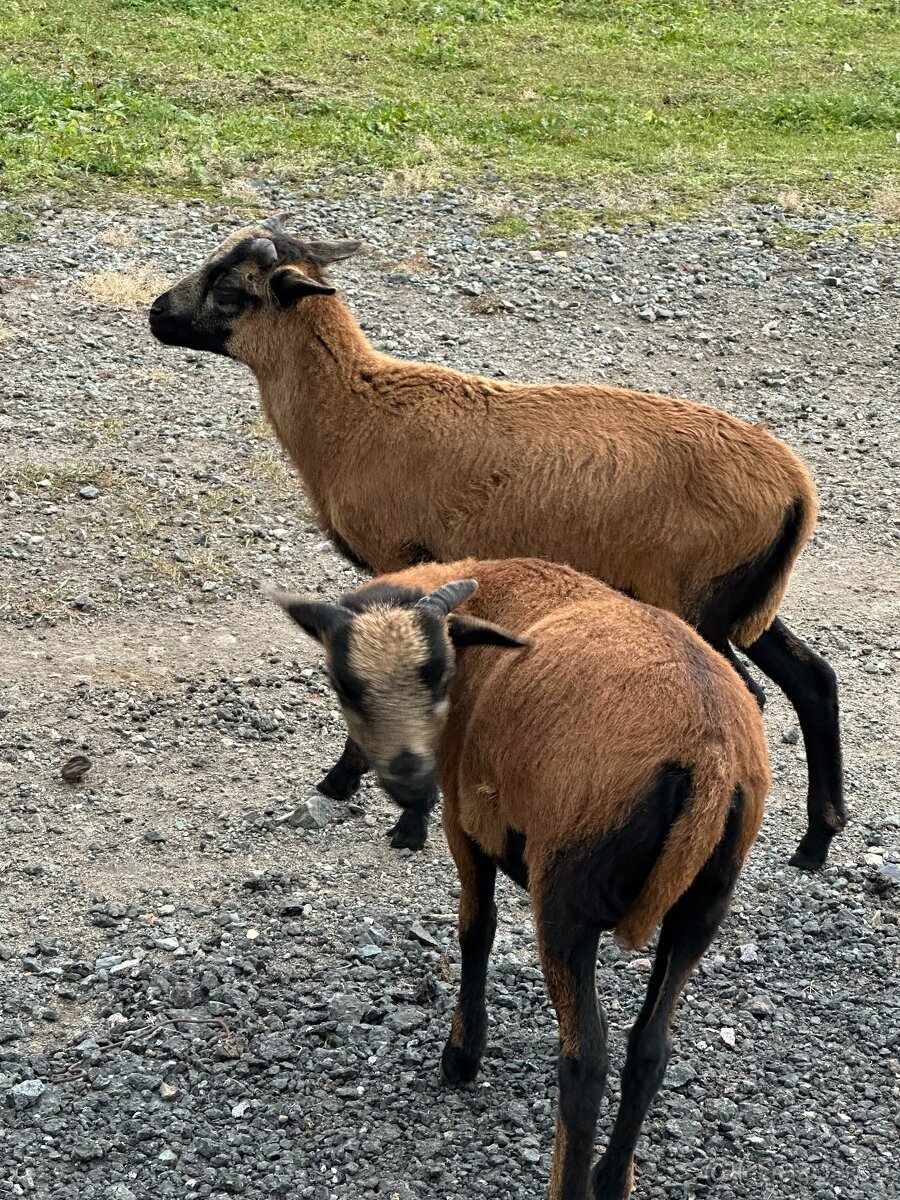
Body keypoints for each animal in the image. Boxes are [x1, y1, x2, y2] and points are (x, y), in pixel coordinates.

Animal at [150, 218, 844, 873]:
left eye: (230, 287)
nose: (156, 311)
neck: (350, 411)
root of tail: (795, 487)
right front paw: (352, 787)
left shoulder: (401, 560)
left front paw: (384, 811)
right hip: (741, 601)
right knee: (813, 678)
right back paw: (816, 841)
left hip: (695, 599)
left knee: (753, 694)